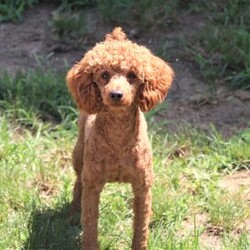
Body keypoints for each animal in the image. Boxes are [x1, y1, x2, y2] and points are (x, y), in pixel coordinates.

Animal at [66, 26, 174, 249]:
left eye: (132, 75)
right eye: (104, 75)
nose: (116, 94)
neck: (118, 138)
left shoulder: (143, 187)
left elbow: (141, 228)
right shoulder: (93, 186)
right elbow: (90, 226)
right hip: (79, 155)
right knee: (79, 180)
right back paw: (73, 211)